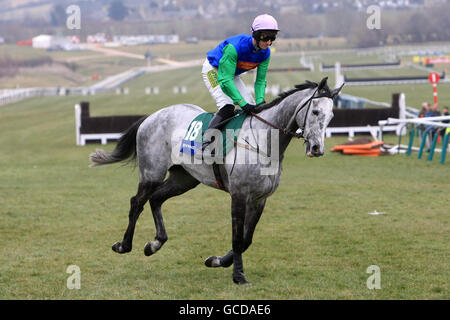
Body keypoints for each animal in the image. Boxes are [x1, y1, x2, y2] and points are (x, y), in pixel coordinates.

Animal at [89, 77, 342, 284]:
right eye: (316, 112)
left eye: (331, 116)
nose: (317, 148)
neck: (263, 141)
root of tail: (151, 116)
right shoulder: (239, 195)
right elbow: (238, 238)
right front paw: (239, 276)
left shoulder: (260, 199)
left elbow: (246, 239)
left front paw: (218, 261)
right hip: (152, 173)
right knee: (137, 202)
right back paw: (124, 245)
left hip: (184, 179)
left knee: (156, 199)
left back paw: (155, 243)